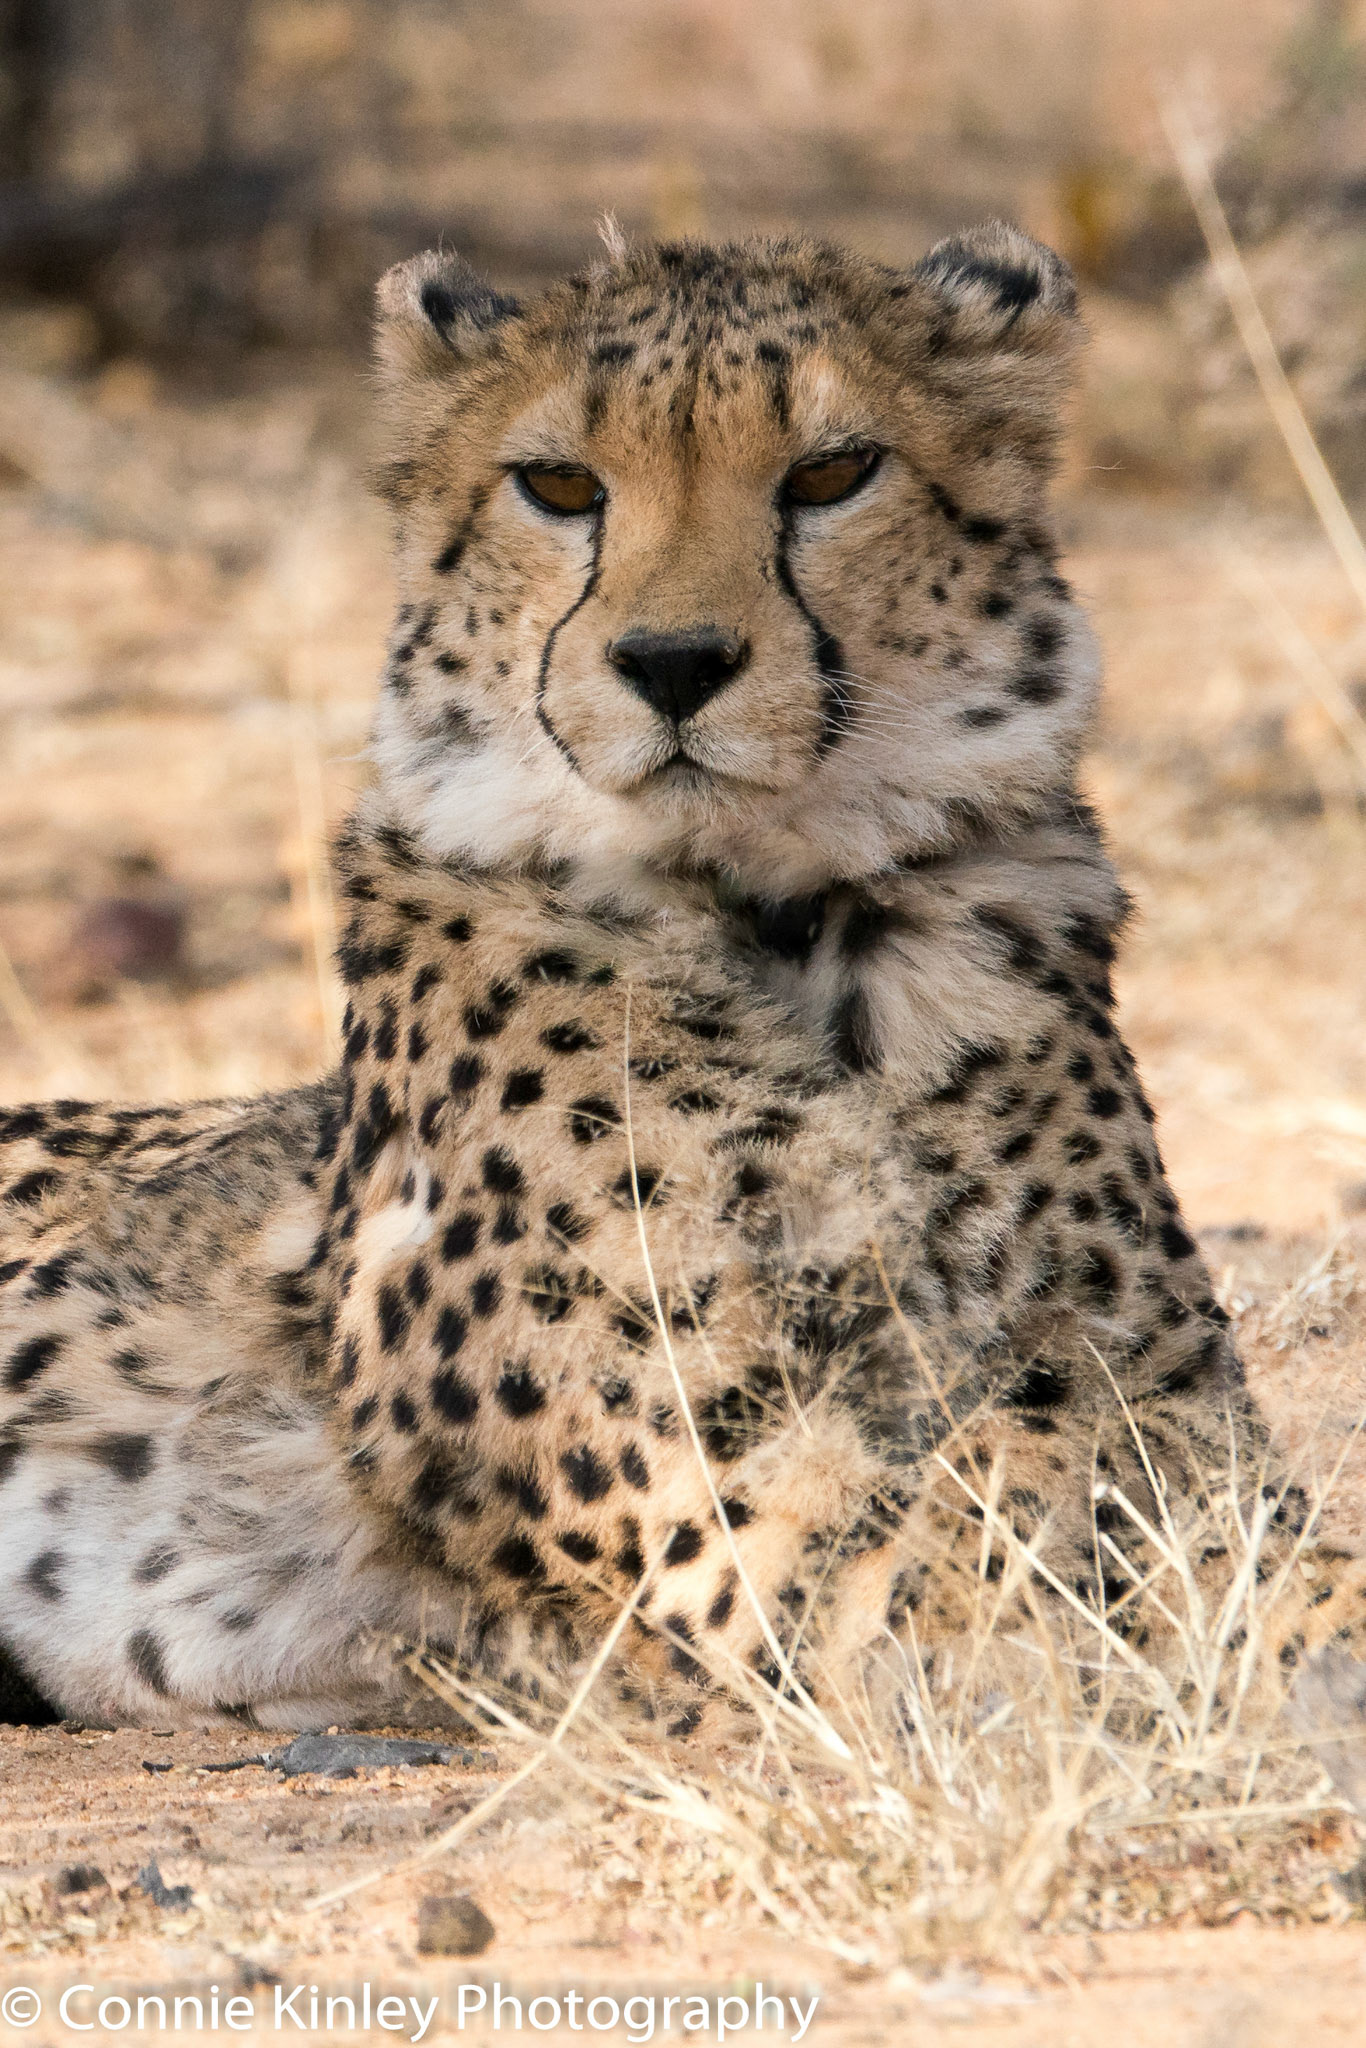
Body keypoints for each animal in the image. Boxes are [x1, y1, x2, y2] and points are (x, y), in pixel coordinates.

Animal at [0, 223, 1286, 1735]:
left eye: (833, 471)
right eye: (559, 484)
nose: (673, 664)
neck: (788, 929)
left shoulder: (1145, 1364)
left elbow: (1191, 1496)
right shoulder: (726, 1445)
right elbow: (970, 1539)